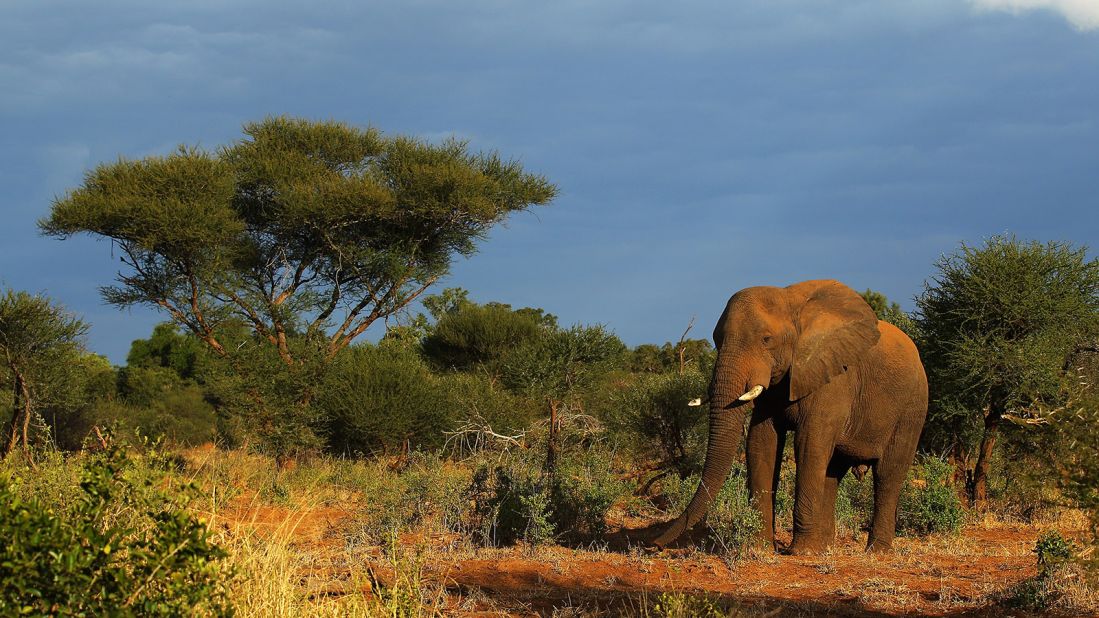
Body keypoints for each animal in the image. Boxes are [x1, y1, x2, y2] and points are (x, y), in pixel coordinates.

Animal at [650, 279, 927, 554]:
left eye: (766, 339)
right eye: (716, 340)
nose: (655, 545)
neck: (791, 302)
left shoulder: (833, 378)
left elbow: (808, 445)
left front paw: (800, 553)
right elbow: (761, 443)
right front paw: (761, 548)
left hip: (912, 408)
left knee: (888, 476)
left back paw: (875, 551)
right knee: (833, 472)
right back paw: (825, 548)